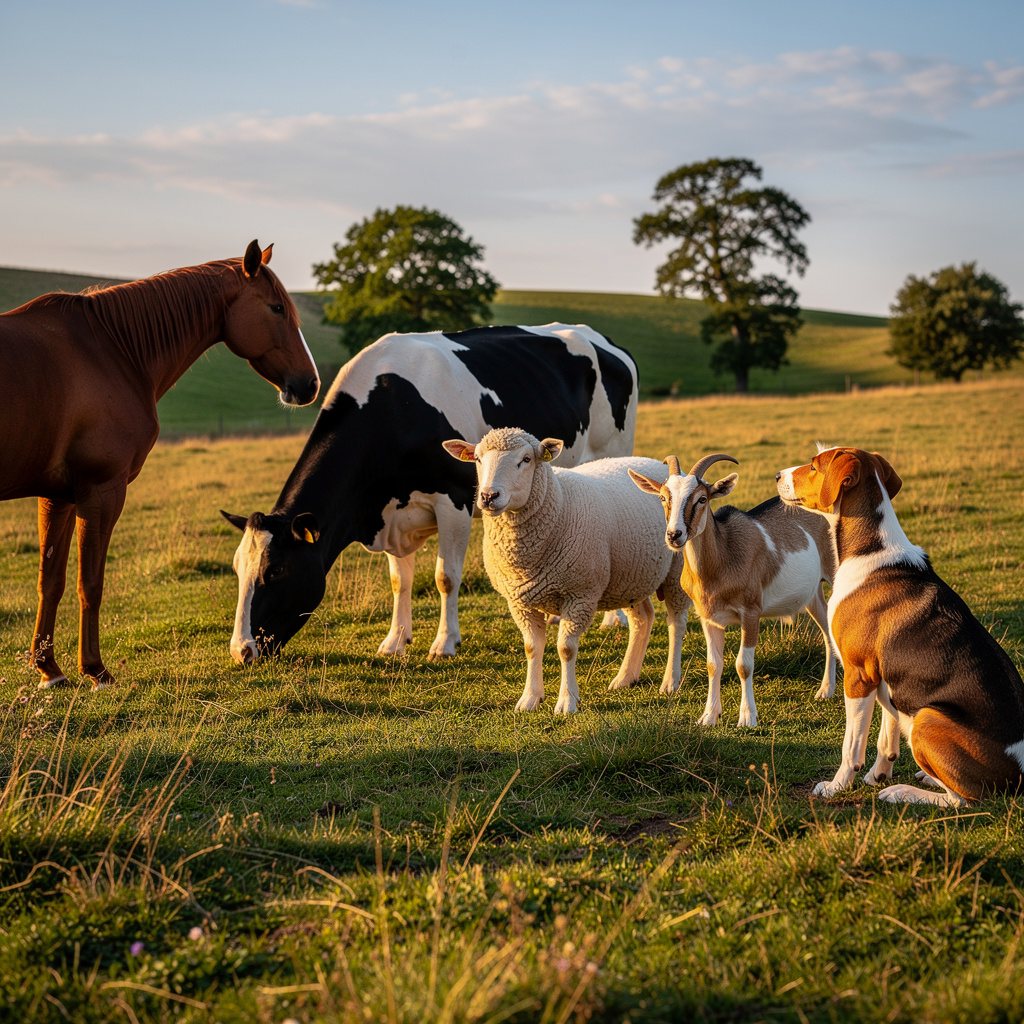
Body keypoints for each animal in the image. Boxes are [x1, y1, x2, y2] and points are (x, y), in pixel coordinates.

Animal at [0, 240, 320, 691]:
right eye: (276, 308)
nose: (310, 384)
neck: (112, 350)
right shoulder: (101, 490)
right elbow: (90, 583)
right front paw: (96, 671)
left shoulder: (57, 495)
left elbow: (51, 581)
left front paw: (50, 670)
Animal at [221, 323, 638, 664]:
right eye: (237, 569)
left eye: (275, 570)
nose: (242, 651)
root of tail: (601, 338)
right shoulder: (389, 514)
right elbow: (399, 581)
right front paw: (395, 641)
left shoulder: (454, 499)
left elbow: (445, 577)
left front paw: (445, 643)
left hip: (609, 454)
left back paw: (612, 618)